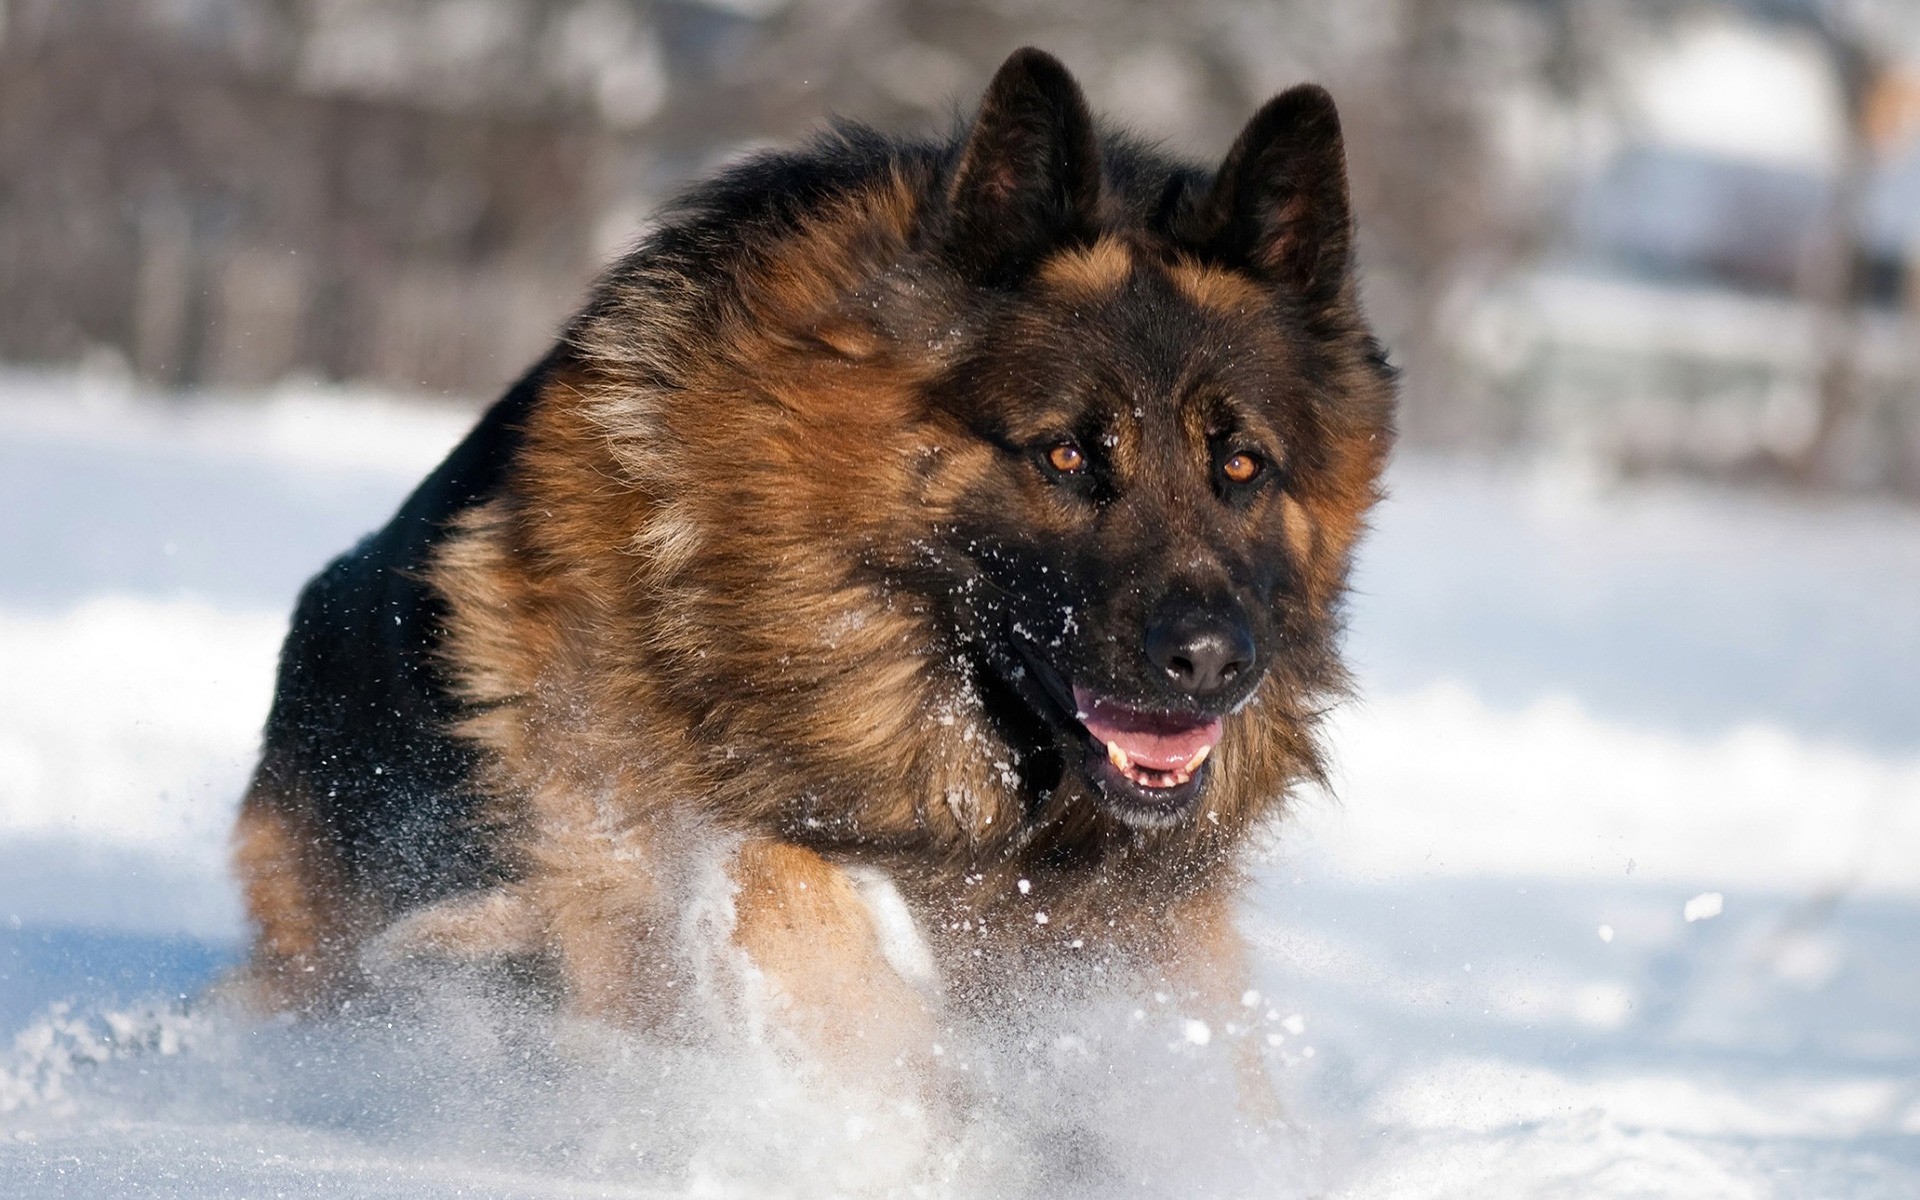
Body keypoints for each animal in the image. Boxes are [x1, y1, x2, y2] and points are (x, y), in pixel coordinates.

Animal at [236, 44, 1397, 1113]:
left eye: (1241, 466)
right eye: (1067, 455)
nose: (1210, 663)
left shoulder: (1144, 937)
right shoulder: (631, 846)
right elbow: (785, 890)